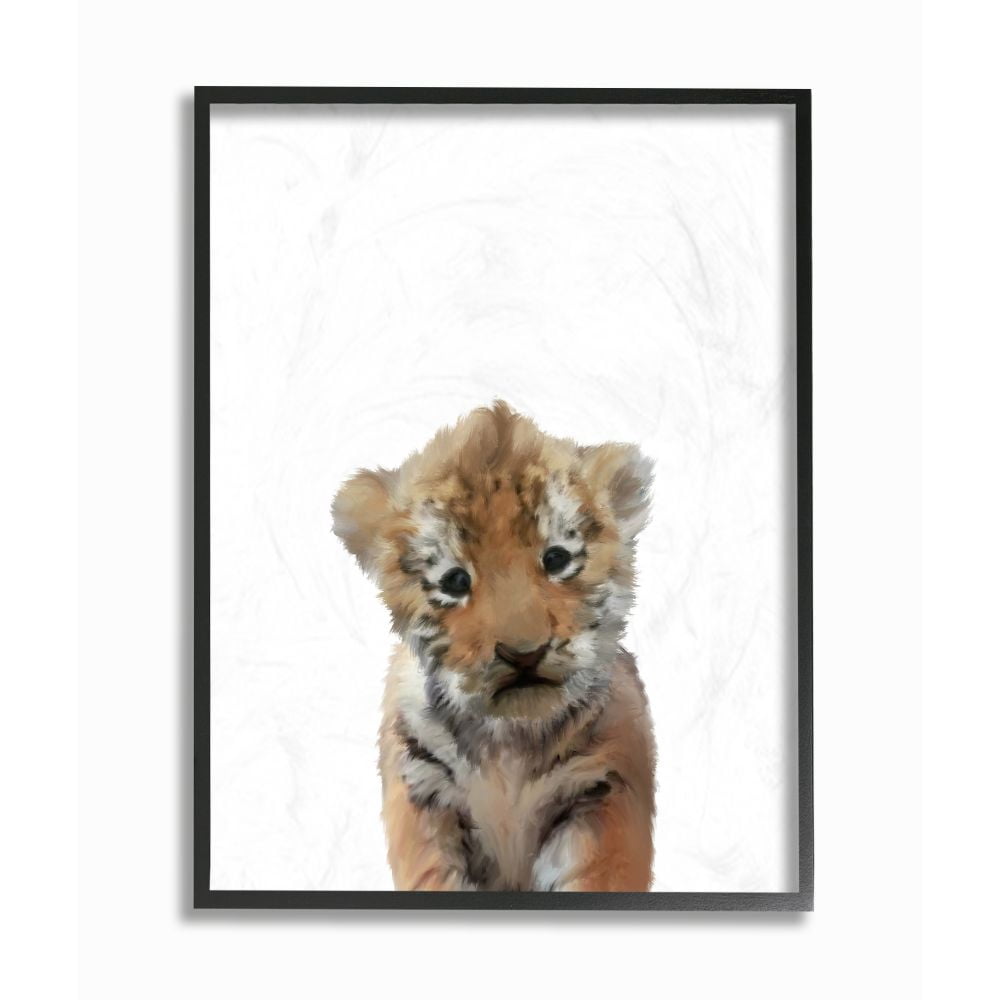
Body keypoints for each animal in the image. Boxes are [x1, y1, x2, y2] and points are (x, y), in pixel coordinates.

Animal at [332, 401, 656, 891]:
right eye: (455, 581)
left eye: (556, 559)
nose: (524, 653)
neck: (510, 745)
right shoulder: (424, 794)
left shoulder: (604, 788)